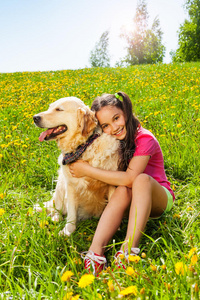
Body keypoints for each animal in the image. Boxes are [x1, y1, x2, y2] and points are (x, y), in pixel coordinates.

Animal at [33, 97, 119, 236]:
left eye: (59, 109)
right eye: (50, 107)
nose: (35, 117)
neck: (84, 146)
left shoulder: (112, 183)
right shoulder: (71, 184)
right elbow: (71, 213)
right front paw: (68, 231)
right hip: (61, 182)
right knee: (57, 207)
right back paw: (55, 217)